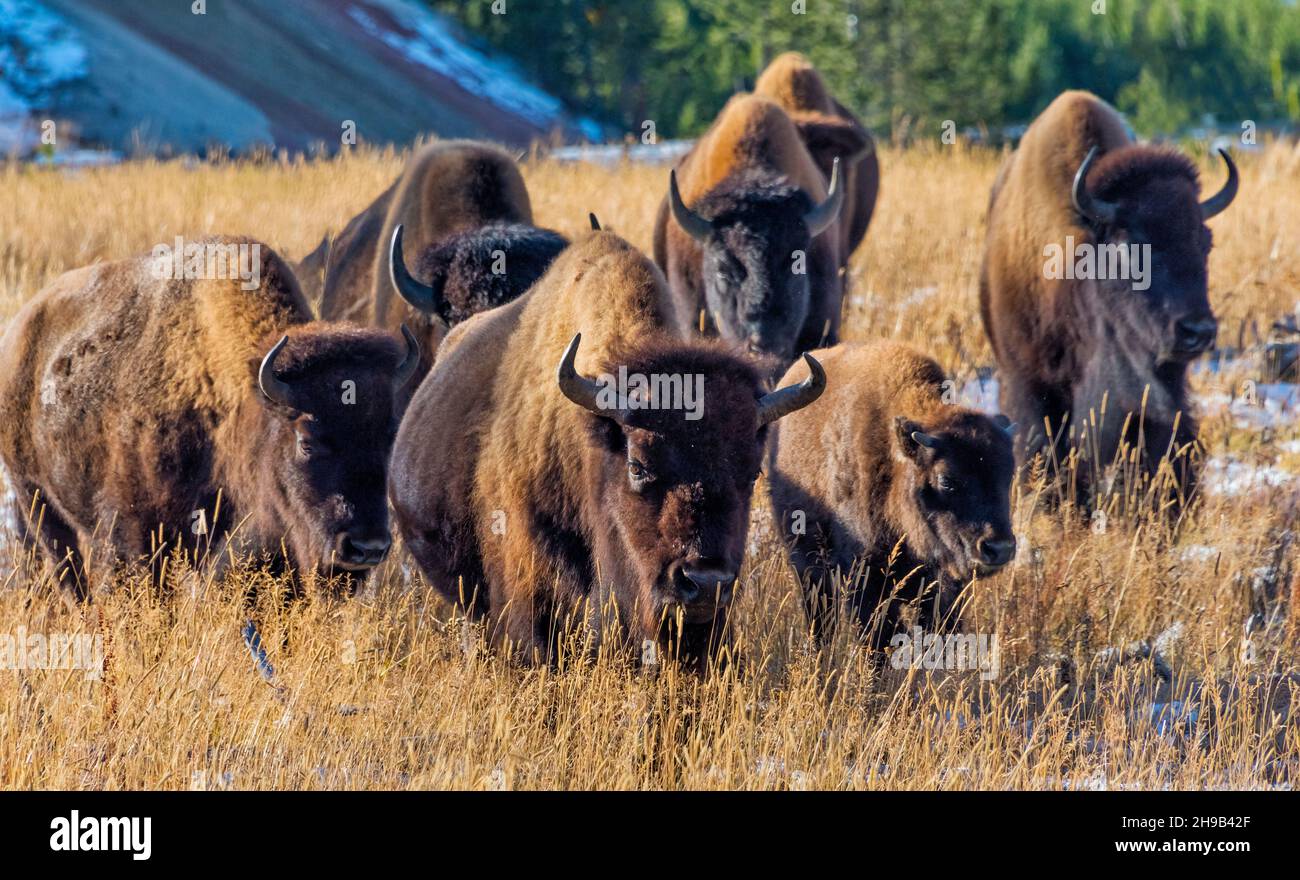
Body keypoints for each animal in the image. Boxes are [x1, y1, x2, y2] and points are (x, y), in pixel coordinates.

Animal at [0, 236, 418, 601]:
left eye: (390, 439)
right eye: (307, 441)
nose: (366, 547)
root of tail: (18, 330)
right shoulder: (135, 533)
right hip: (35, 499)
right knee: (68, 572)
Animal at [767, 341, 1015, 645]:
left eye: (1008, 474)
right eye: (946, 480)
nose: (999, 548)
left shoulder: (944, 588)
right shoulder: (866, 580)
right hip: (807, 567)